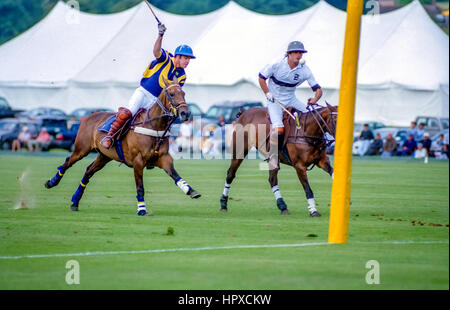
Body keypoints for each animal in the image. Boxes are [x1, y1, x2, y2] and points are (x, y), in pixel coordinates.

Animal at [44, 78, 200, 216]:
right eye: (172, 94)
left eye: (184, 93)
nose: (186, 113)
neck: (154, 126)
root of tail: (87, 117)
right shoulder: (138, 161)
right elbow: (140, 187)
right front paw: (141, 210)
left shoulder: (163, 158)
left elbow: (176, 175)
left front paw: (191, 191)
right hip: (81, 149)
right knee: (67, 162)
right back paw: (51, 182)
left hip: (104, 156)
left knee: (88, 171)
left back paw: (75, 202)